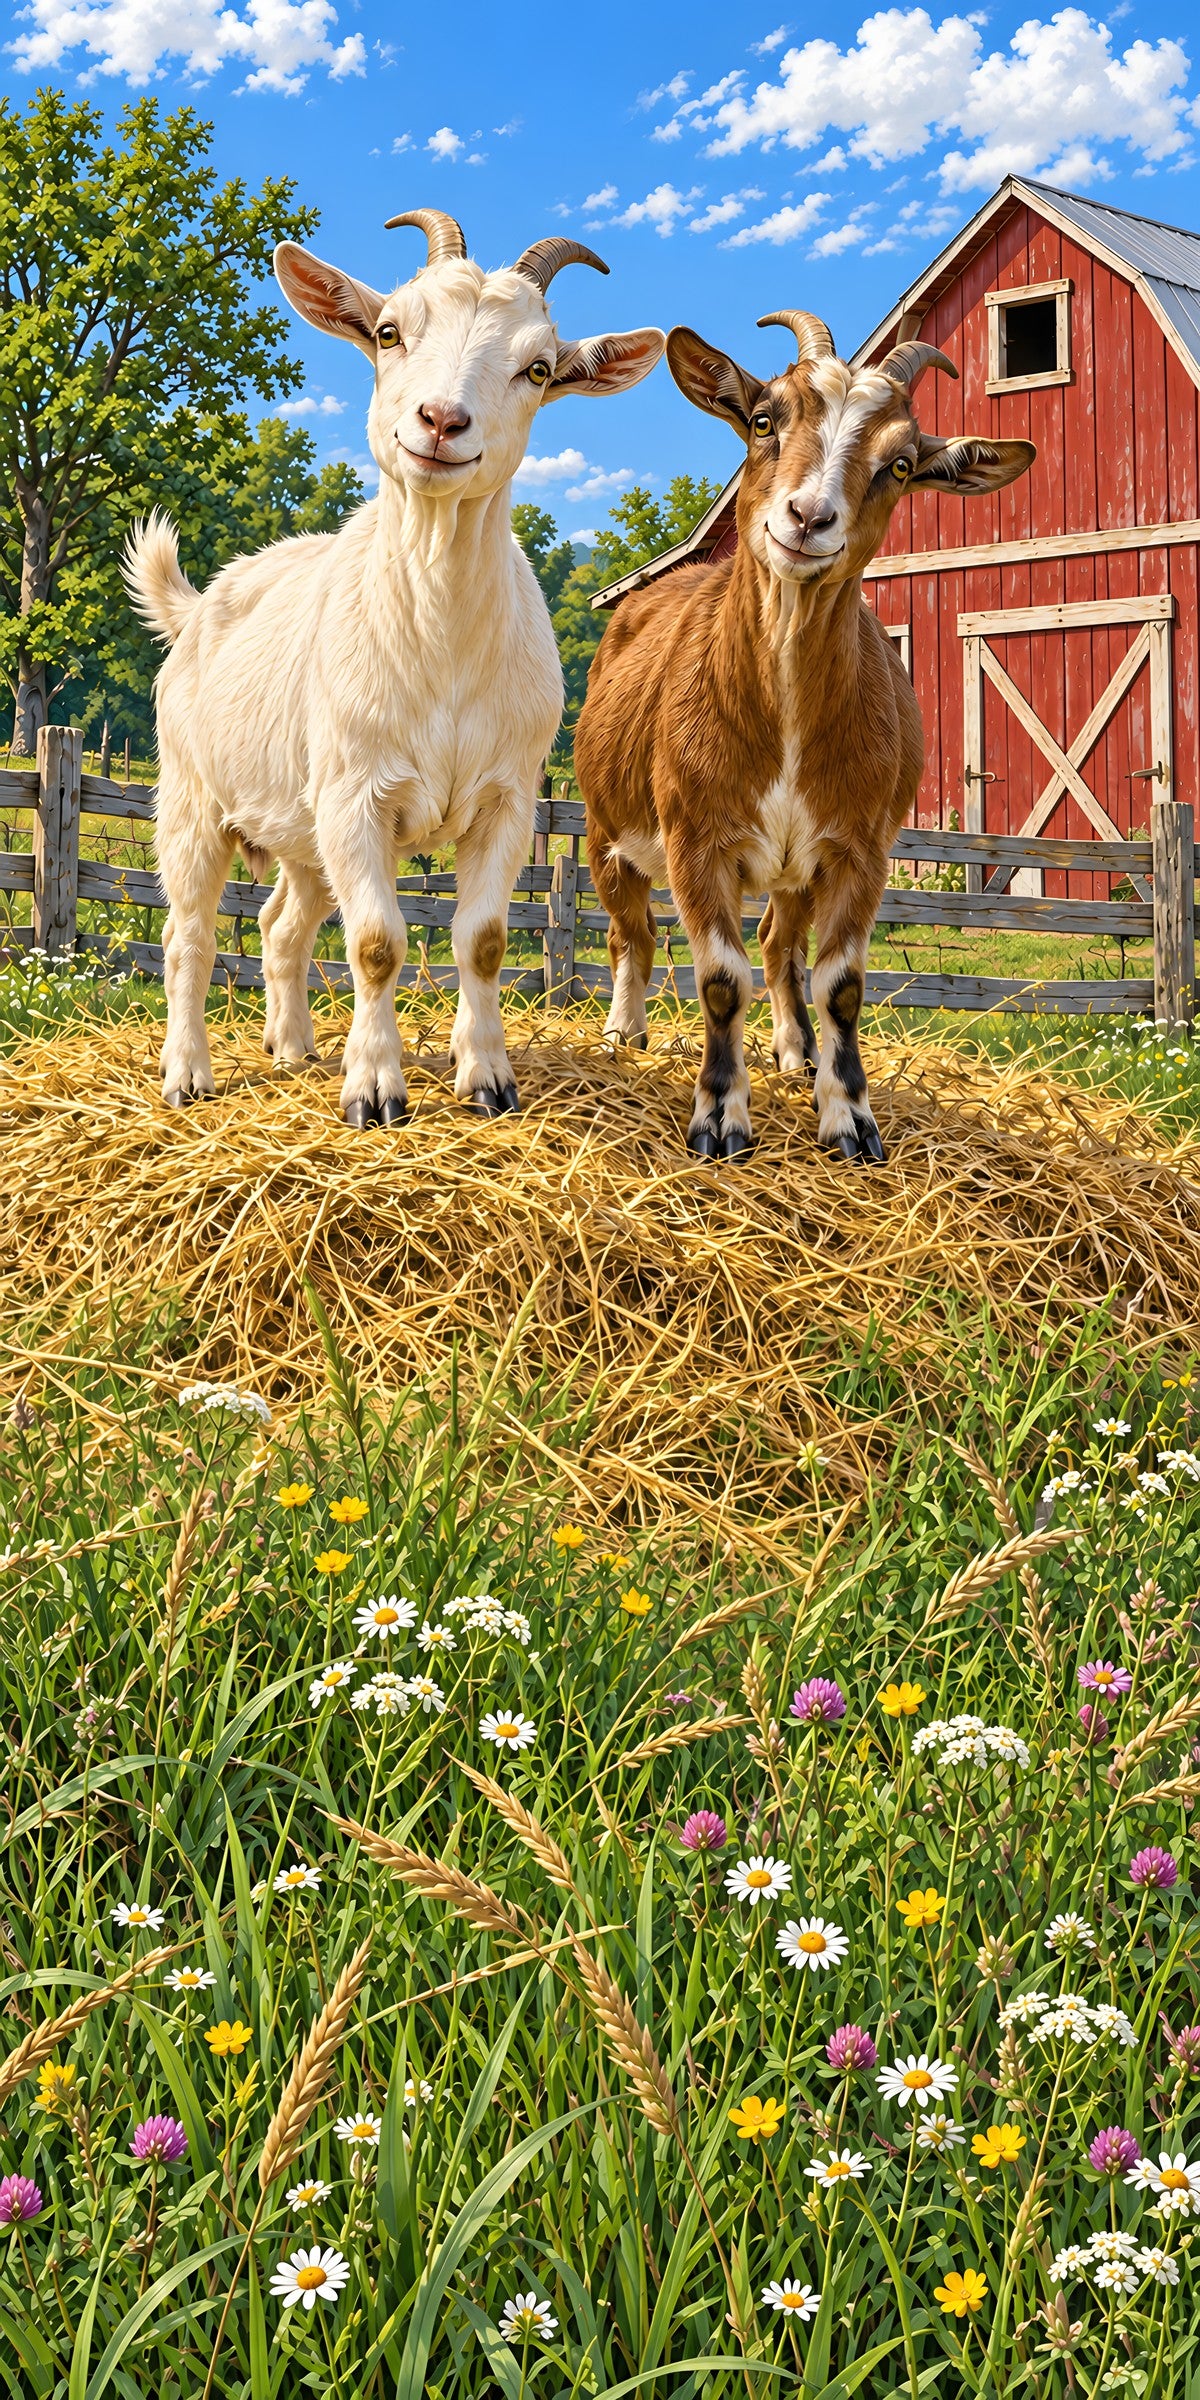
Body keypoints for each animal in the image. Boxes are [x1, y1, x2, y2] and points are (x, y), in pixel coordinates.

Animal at [123, 210, 663, 1123]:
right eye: (387, 331)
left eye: (538, 368)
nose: (441, 420)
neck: (438, 644)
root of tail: (196, 607)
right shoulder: (355, 795)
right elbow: (377, 942)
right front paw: (375, 1090)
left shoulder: (507, 801)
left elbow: (482, 942)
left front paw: (487, 1079)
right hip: (192, 797)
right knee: (187, 934)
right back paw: (187, 1073)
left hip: (301, 831)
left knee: (281, 925)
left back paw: (293, 1048)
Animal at [574, 314, 1034, 1160]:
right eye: (764, 421)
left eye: (899, 464)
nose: (809, 518)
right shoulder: (696, 838)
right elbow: (720, 979)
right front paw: (719, 1119)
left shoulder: (859, 847)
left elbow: (839, 984)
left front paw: (848, 1118)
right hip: (602, 826)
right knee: (631, 934)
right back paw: (624, 1034)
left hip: (791, 869)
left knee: (775, 941)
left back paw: (795, 1050)